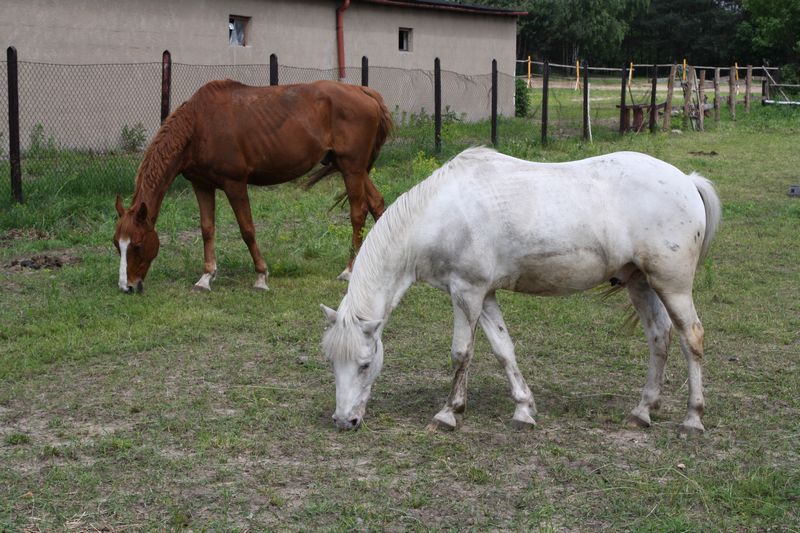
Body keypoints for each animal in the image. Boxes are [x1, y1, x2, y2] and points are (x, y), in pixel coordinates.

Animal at [113, 80, 394, 290]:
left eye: (137, 245)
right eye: (117, 245)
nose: (127, 287)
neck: (198, 126)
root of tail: (362, 91)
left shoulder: (235, 184)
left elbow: (247, 229)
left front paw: (261, 276)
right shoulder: (202, 185)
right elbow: (207, 229)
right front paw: (206, 277)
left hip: (351, 167)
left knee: (358, 213)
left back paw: (349, 270)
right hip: (350, 167)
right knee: (377, 204)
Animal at [322, 145, 720, 432]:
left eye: (365, 364)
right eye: (332, 362)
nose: (343, 421)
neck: (438, 216)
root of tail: (687, 181)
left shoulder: (466, 293)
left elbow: (461, 353)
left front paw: (449, 413)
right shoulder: (484, 295)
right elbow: (504, 350)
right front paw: (523, 410)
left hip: (672, 285)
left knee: (691, 338)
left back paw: (692, 418)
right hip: (640, 282)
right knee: (659, 337)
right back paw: (642, 411)